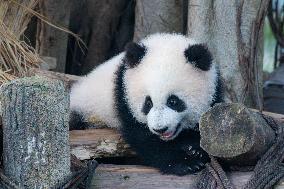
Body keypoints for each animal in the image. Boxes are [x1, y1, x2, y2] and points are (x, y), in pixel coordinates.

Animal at [70, 32, 223, 176]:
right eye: (148, 103)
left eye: (173, 101)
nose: (160, 129)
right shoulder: (124, 99)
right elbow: (144, 139)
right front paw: (186, 163)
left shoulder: (214, 92)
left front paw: (195, 149)